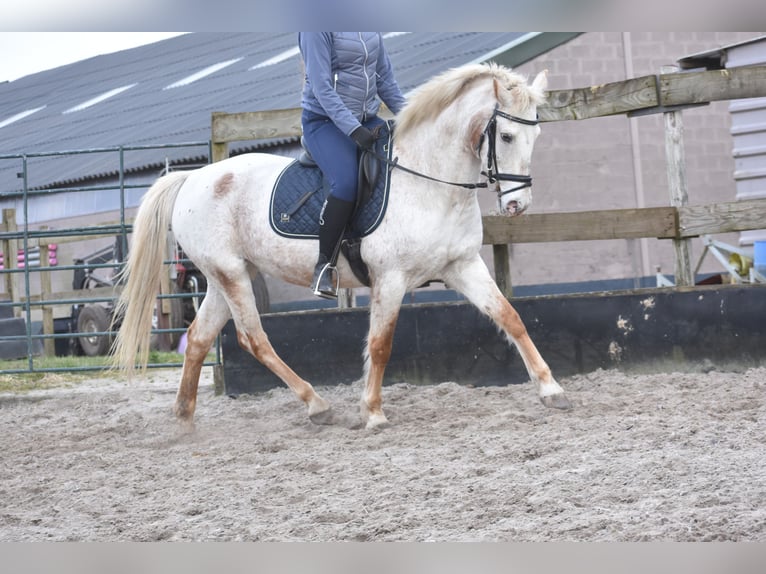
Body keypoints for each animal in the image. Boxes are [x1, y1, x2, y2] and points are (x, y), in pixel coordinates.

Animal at [112, 63, 568, 432]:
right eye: (506, 135)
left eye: (537, 134)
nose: (517, 205)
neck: (429, 180)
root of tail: (192, 177)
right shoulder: (390, 279)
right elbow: (380, 344)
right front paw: (374, 413)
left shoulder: (463, 264)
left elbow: (510, 317)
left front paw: (551, 389)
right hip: (231, 274)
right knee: (252, 338)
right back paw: (316, 405)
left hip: (225, 275)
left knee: (199, 337)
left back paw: (185, 420)